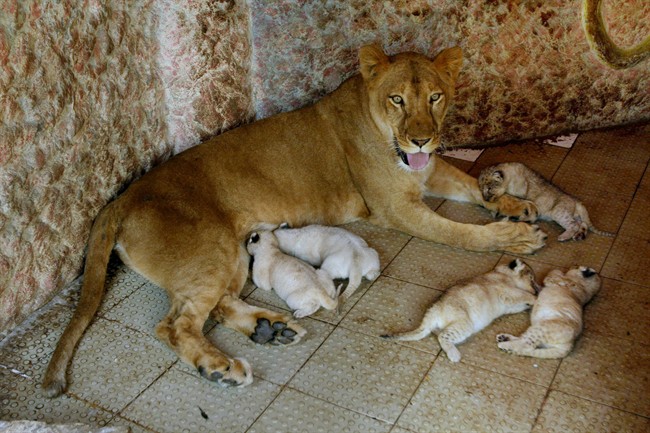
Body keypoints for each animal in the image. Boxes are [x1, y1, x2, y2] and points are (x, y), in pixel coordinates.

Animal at [43, 44, 546, 396]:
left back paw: (271, 329)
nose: (422, 139)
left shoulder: (429, 171)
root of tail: (120, 198)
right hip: (213, 248)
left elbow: (468, 184)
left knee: (217, 305)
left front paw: (513, 205)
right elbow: (461, 233)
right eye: (398, 99)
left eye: (436, 97)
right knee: (175, 324)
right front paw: (516, 236)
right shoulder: (396, 208)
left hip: (231, 254)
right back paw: (221, 368)